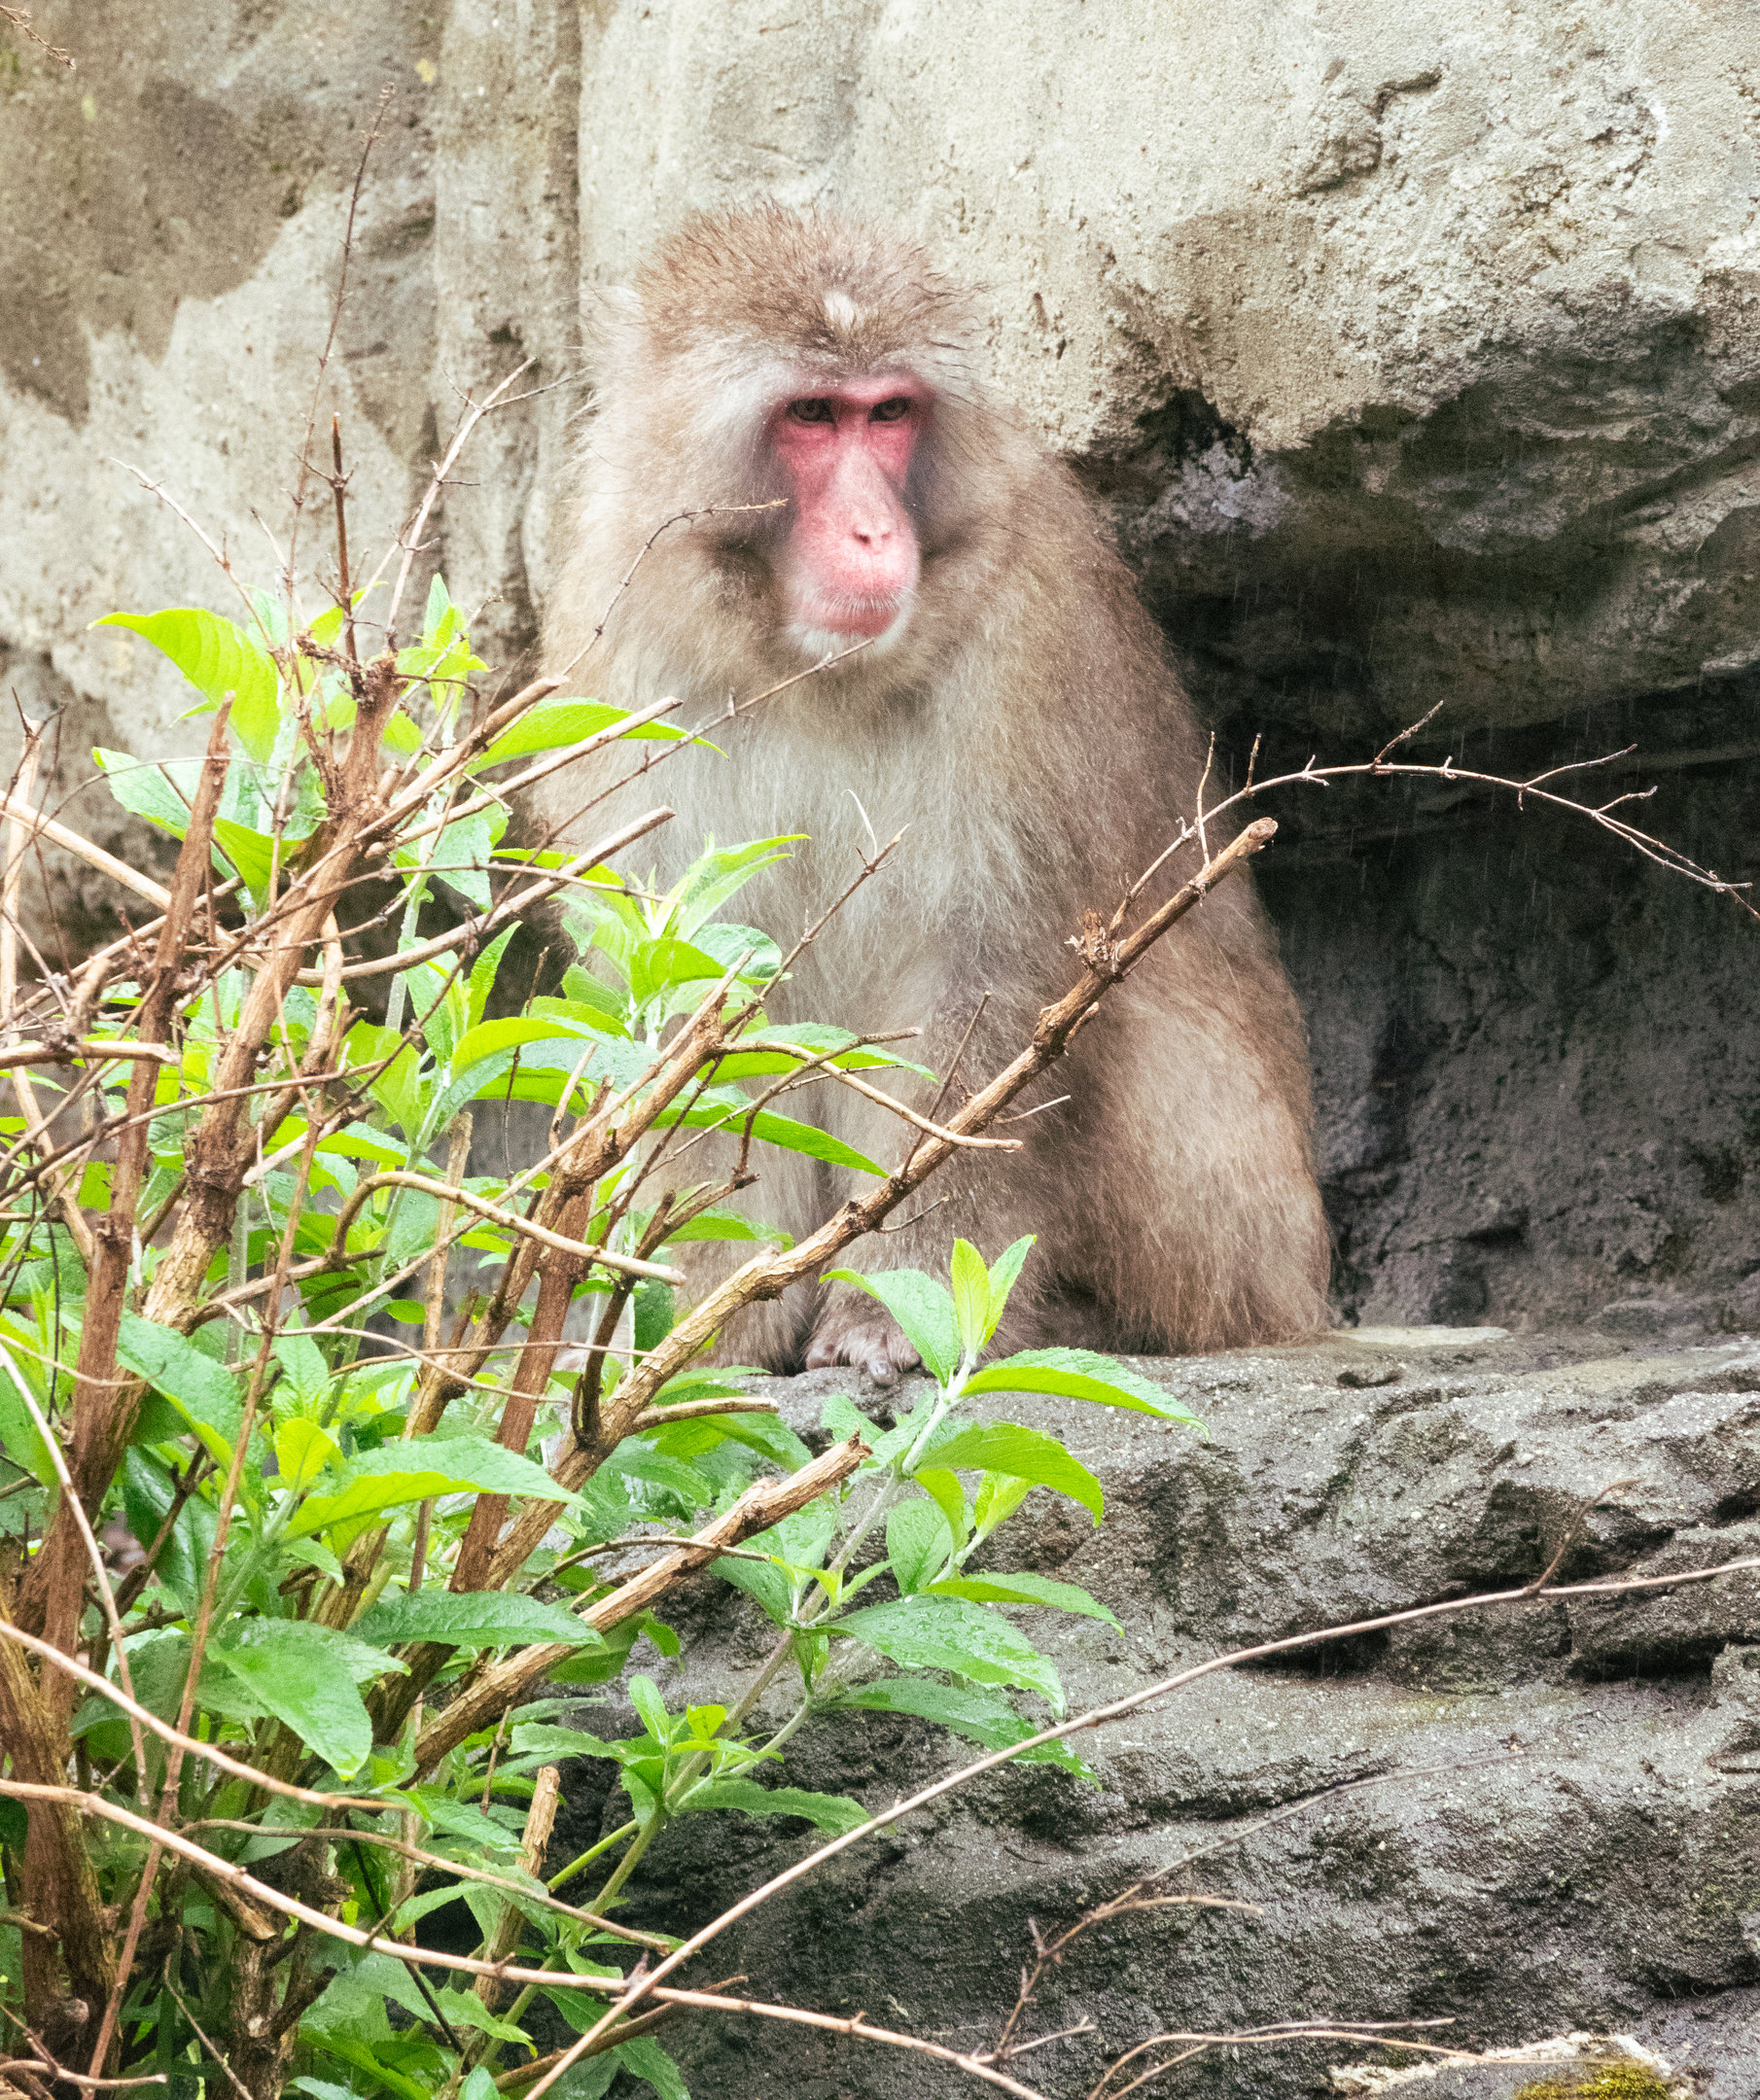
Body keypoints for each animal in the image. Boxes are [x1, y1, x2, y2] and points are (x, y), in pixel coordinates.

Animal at [539, 207, 1331, 1381]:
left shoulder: (1026, 639)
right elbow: (690, 982)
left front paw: (897, 1309)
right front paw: (704, 1317)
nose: (874, 531)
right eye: (812, 415)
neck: (804, 666)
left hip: (1259, 1241)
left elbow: (985, 985)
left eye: (890, 414)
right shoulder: (620, 652)